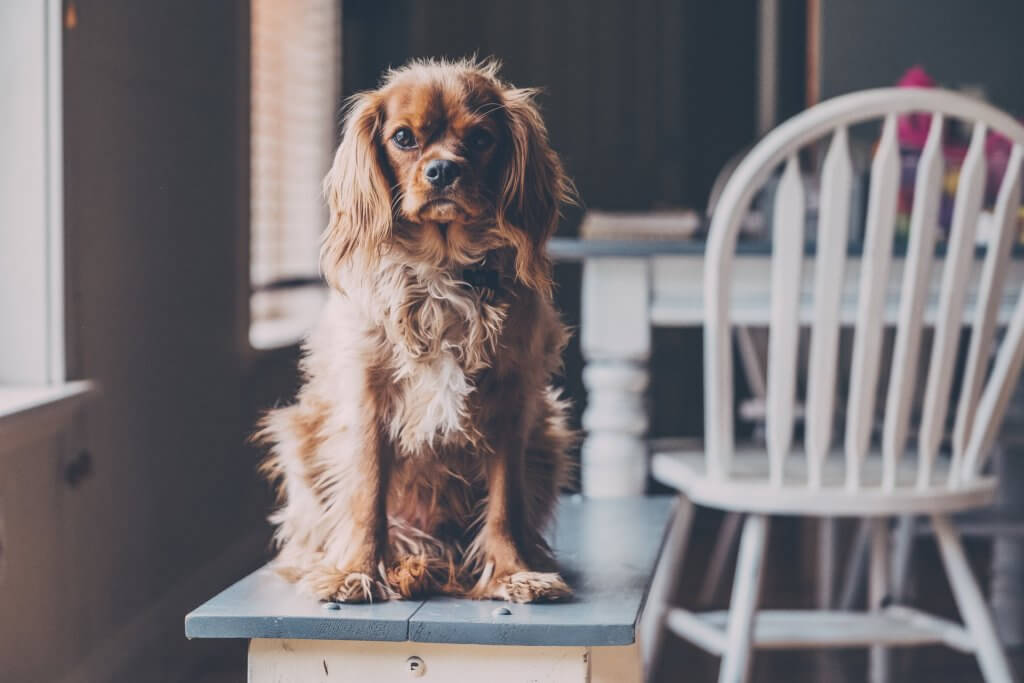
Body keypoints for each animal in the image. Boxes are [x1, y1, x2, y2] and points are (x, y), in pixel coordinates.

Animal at [256, 57, 577, 602]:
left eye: (481, 139)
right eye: (403, 138)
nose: (442, 170)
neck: (442, 266)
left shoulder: (512, 401)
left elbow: (504, 504)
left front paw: (513, 573)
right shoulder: (369, 396)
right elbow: (367, 496)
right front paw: (356, 571)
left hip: (549, 436)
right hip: (299, 432)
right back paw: (390, 565)